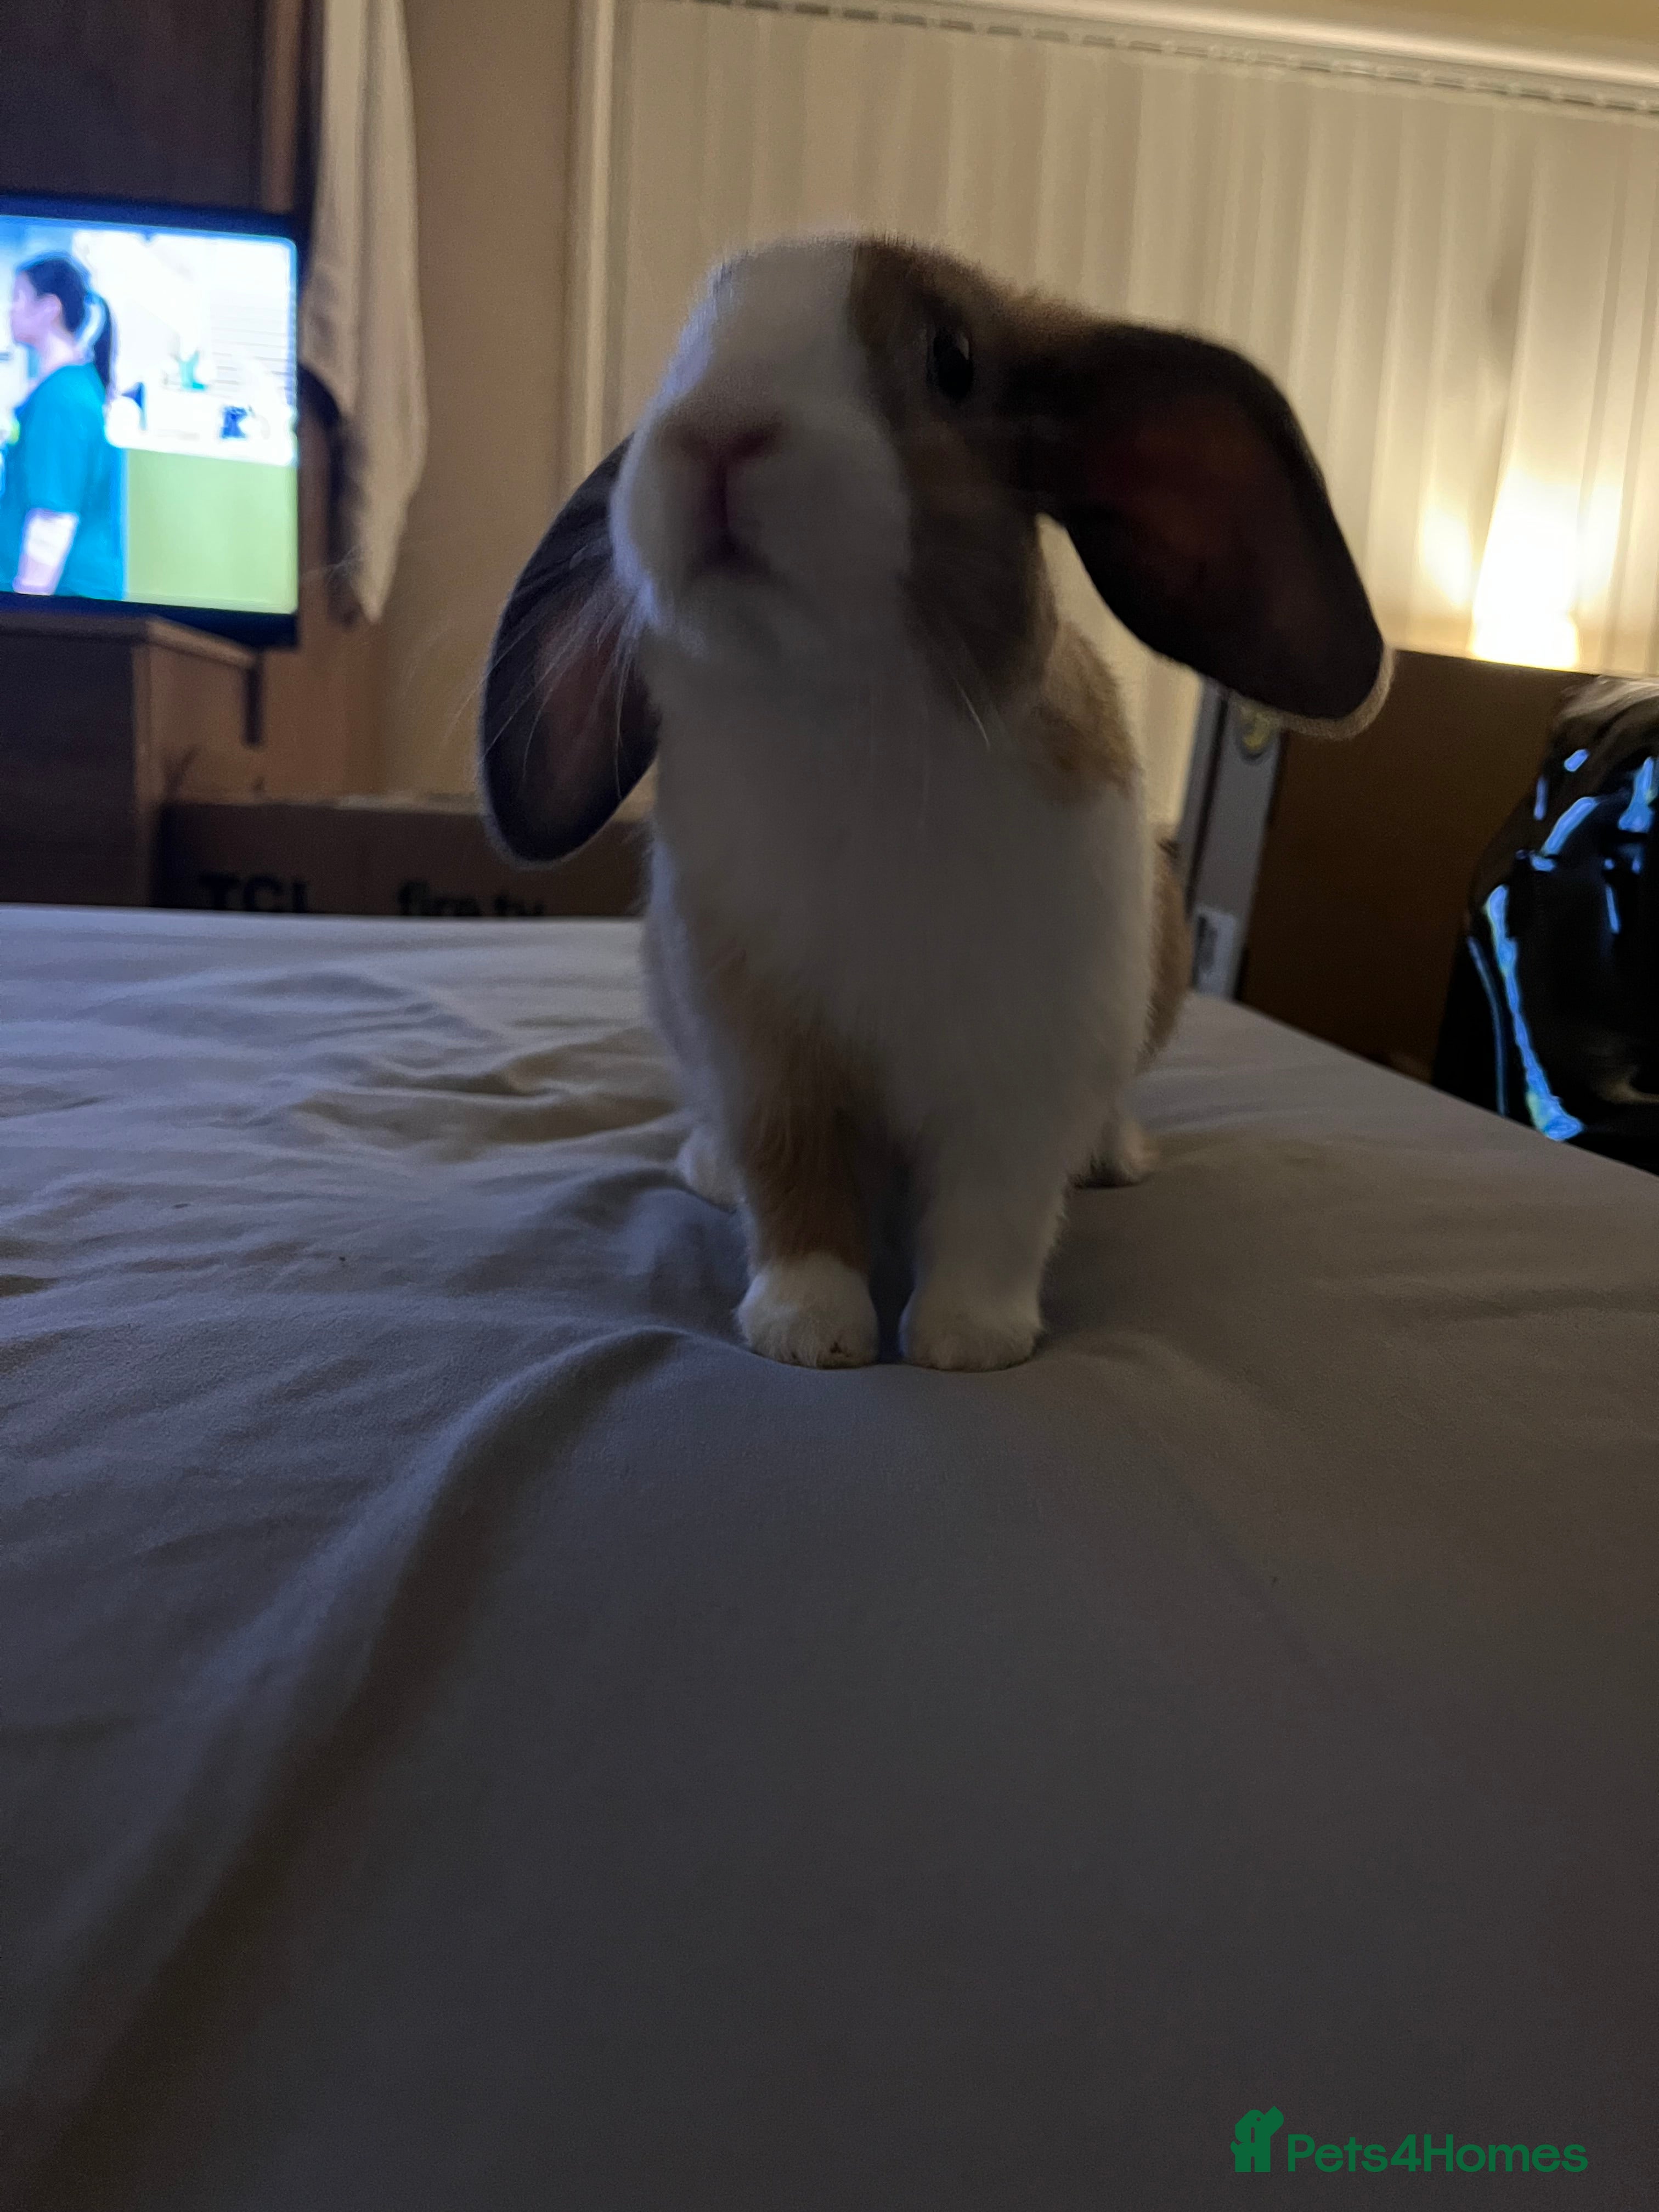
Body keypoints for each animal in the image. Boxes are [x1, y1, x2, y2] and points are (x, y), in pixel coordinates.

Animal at [479, 234, 1390, 1371]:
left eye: (951, 361)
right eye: (676, 360)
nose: (713, 430)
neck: (844, 722)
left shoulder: (1023, 1074)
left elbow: (991, 1214)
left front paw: (968, 1342)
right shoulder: (766, 1062)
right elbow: (794, 1189)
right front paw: (807, 1332)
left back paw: (1112, 1159)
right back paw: (707, 1170)